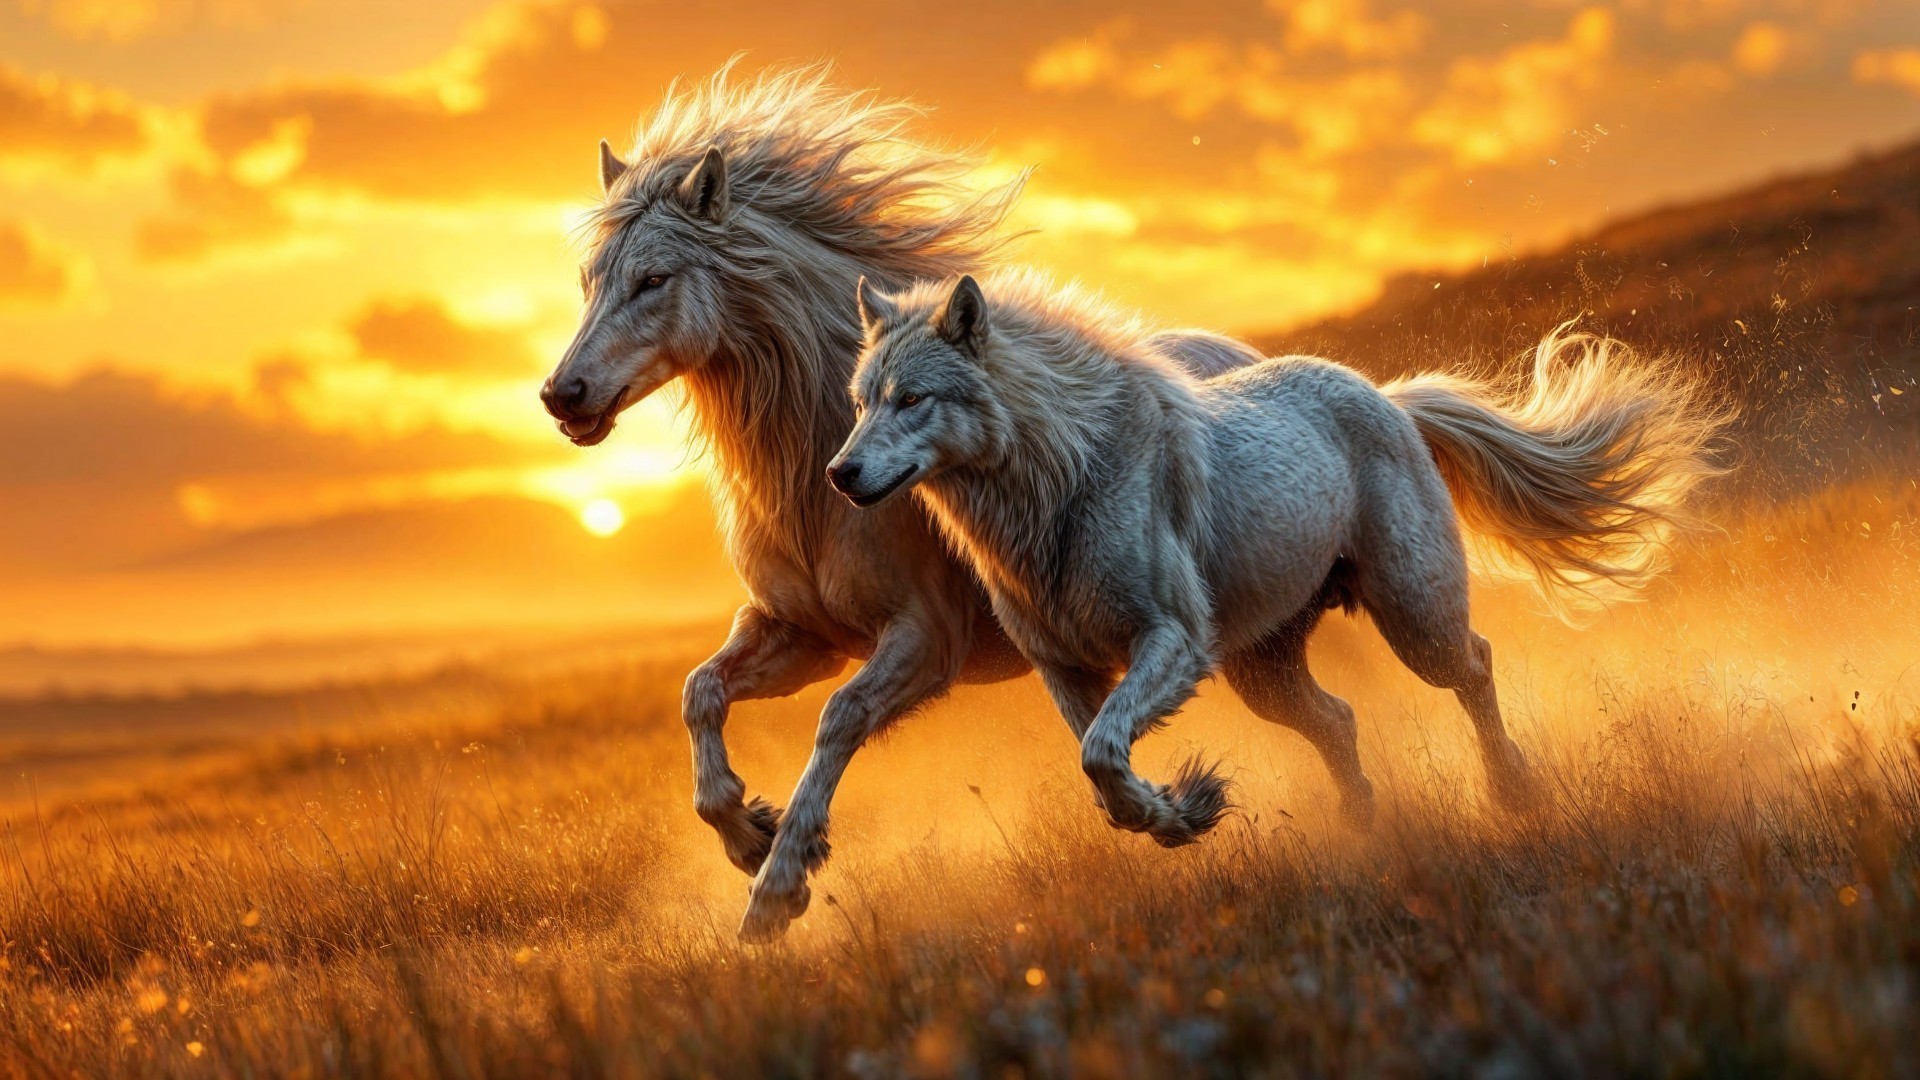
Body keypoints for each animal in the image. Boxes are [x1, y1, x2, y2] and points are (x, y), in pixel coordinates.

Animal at [537, 64, 1261, 941]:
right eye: (589, 281)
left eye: (653, 280)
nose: (563, 396)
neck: (816, 485)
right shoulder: (803, 634)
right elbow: (699, 693)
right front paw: (749, 833)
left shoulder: (921, 640)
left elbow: (839, 718)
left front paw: (781, 885)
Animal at [828, 271, 1730, 846]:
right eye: (861, 401)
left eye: (912, 399)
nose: (841, 474)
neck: (1067, 483)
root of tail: (1387, 396)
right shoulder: (1066, 669)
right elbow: (1103, 768)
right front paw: (1184, 812)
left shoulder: (1170, 641)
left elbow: (1102, 755)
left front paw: (1181, 808)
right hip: (1265, 671)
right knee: (1337, 720)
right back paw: (1366, 829)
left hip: (1415, 617)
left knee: (1473, 666)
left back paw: (1514, 793)